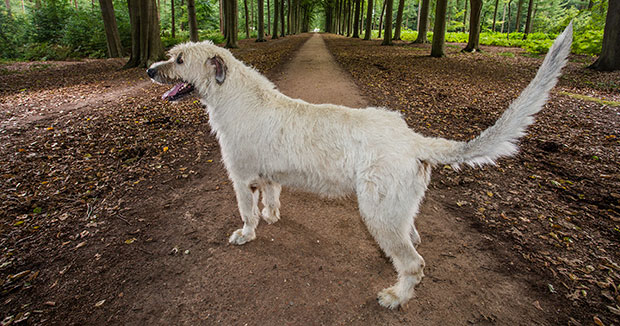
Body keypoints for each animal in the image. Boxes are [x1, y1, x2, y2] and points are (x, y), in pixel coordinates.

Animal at [148, 24, 572, 310]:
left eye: (179, 59)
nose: (151, 70)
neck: (233, 95)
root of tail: (413, 139)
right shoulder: (268, 176)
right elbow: (271, 197)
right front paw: (272, 216)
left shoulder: (239, 178)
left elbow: (246, 211)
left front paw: (247, 233)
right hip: (397, 207)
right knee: (411, 238)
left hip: (378, 210)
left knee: (415, 262)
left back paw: (397, 296)